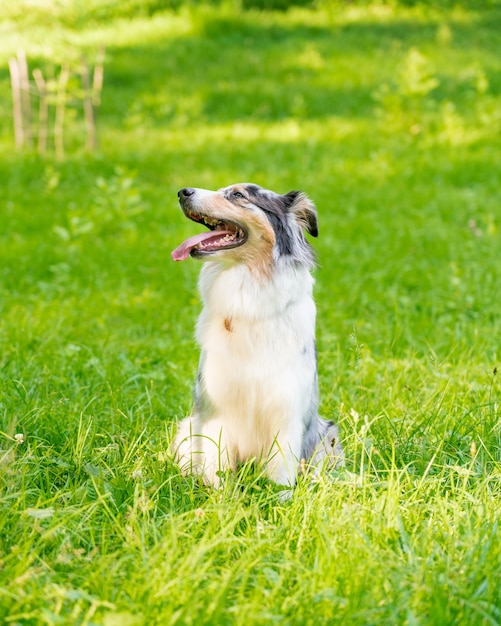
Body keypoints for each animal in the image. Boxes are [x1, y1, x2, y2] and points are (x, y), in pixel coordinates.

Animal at [171, 183, 340, 490]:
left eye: (238, 195)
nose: (183, 192)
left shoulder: (286, 411)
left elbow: (281, 476)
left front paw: (279, 499)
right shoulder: (215, 411)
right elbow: (217, 471)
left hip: (326, 434)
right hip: (188, 427)